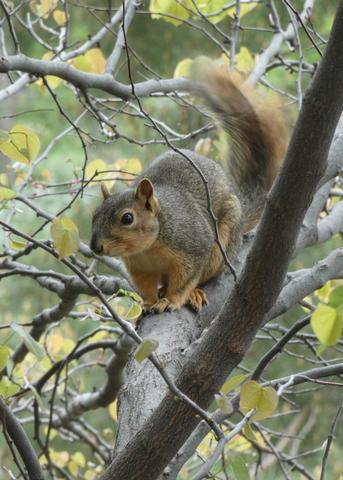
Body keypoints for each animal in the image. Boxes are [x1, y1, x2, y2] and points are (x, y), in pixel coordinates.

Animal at [90, 69, 288, 314]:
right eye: (94, 215)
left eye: (127, 218)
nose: (95, 247)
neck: (149, 248)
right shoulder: (138, 267)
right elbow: (146, 287)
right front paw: (148, 303)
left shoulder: (194, 247)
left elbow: (184, 281)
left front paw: (171, 300)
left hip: (222, 246)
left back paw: (195, 293)